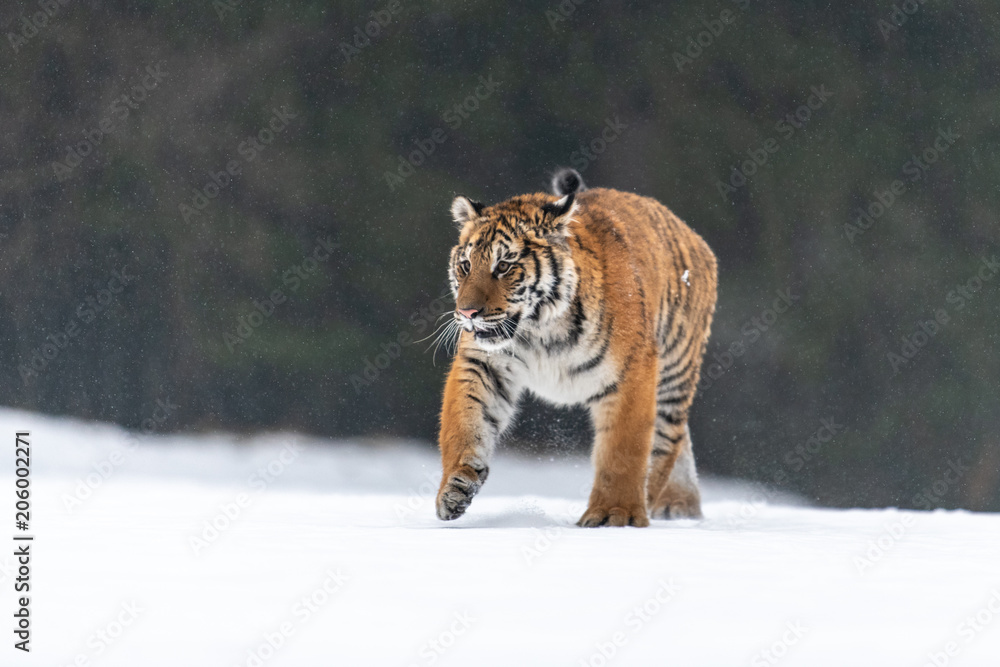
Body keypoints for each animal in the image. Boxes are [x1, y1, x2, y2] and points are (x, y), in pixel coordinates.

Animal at [435, 168, 718, 527]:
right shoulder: (484, 364)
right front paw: (455, 488)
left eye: (504, 266)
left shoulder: (632, 372)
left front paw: (615, 514)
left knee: (667, 442)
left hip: (673, 374)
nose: (467, 313)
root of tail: (689, 232)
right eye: (466, 265)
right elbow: (465, 422)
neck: (540, 328)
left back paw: (658, 502)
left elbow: (622, 450)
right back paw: (681, 504)